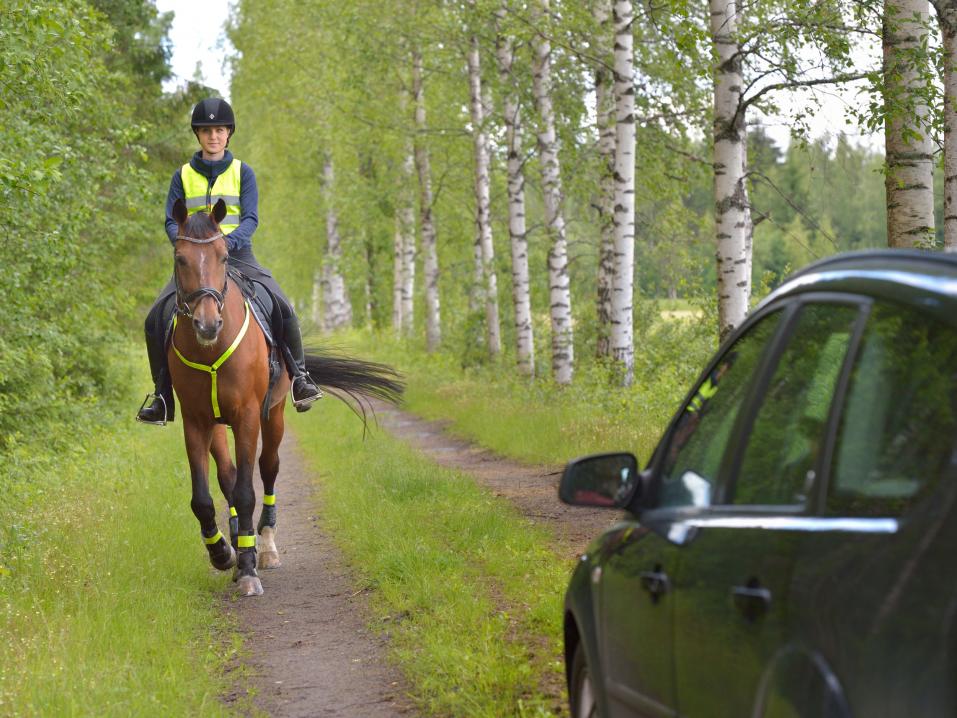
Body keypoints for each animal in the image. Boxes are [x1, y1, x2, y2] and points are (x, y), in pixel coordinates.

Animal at [168, 197, 400, 596]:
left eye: (223, 257)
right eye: (180, 258)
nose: (208, 324)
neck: (209, 350)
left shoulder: (247, 415)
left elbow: (247, 491)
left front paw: (248, 568)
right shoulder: (195, 420)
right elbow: (203, 498)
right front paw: (222, 553)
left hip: (272, 414)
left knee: (267, 468)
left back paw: (265, 546)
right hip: (217, 425)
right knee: (227, 476)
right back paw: (237, 543)